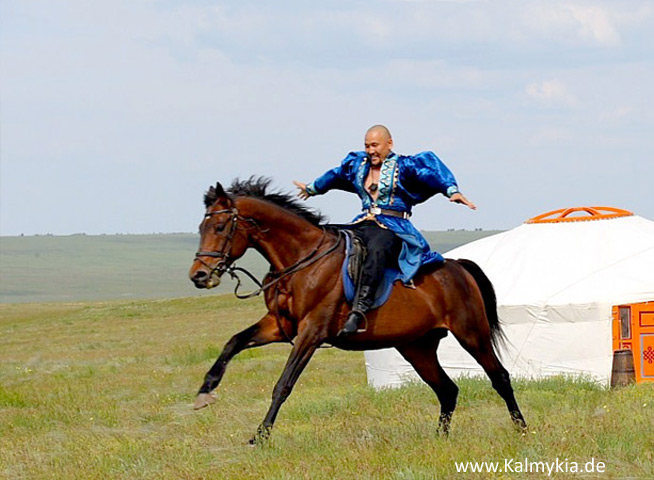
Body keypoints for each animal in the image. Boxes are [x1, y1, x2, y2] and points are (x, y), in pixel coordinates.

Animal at [188, 178, 528, 444]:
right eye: (201, 227)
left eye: (220, 226)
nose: (199, 276)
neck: (302, 260)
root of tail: (458, 266)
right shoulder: (279, 326)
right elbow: (233, 342)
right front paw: (205, 392)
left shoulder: (311, 333)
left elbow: (283, 384)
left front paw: (260, 435)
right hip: (416, 347)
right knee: (447, 390)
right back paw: (440, 439)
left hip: (471, 334)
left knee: (499, 377)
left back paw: (522, 430)